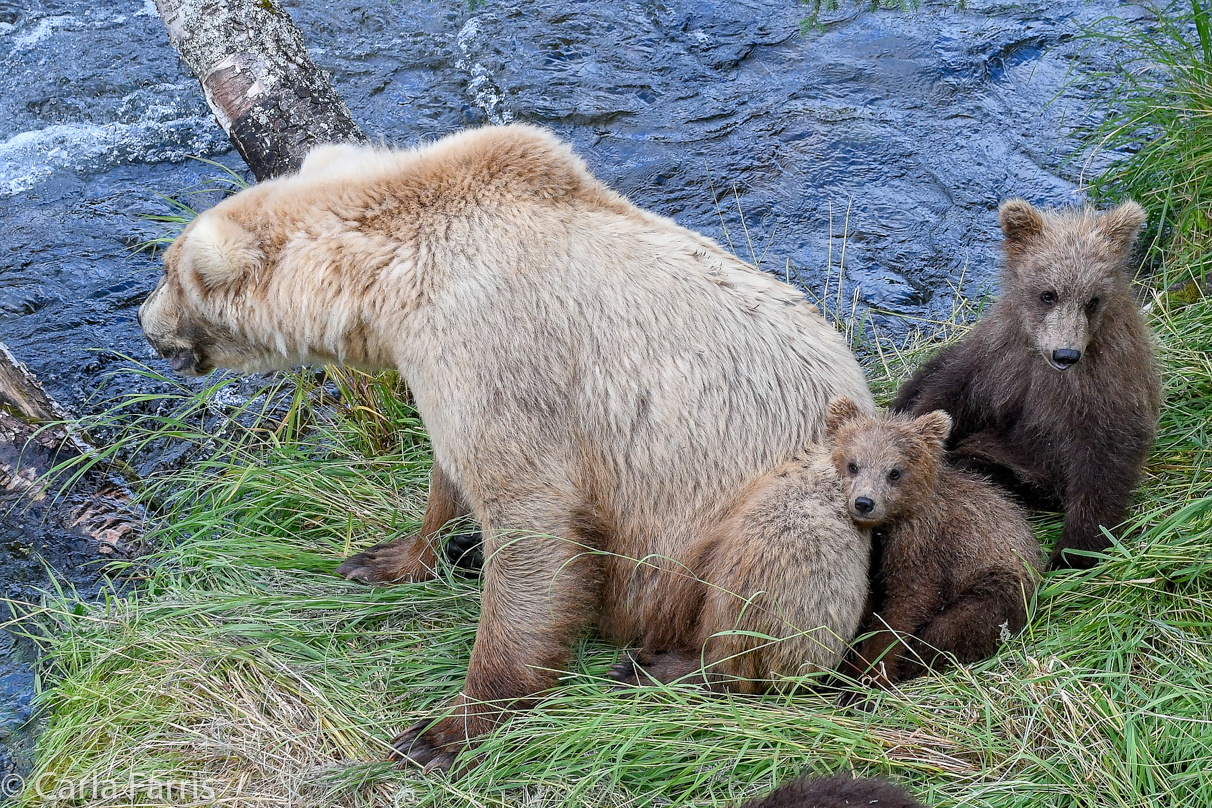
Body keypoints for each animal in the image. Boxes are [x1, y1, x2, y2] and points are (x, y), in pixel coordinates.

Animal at [139, 124, 872, 770]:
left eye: (168, 272)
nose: (146, 326)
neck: (387, 280)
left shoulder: (498, 347)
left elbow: (531, 522)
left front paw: (442, 732)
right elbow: (449, 474)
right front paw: (386, 558)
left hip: (798, 493)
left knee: (773, 569)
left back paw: (668, 665)